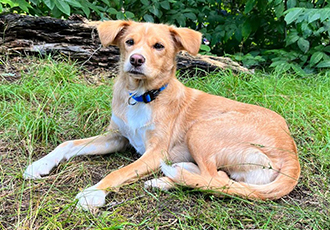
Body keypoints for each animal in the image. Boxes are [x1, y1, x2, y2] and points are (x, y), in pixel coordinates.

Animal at [24, 20, 300, 210]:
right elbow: (68, 144)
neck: (141, 95)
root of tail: (291, 151)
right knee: (220, 178)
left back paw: (165, 180)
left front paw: (93, 193)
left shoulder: (155, 152)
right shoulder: (117, 137)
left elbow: (119, 172)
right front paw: (40, 164)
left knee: (216, 179)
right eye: (129, 42)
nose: (136, 60)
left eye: (159, 46)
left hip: (200, 130)